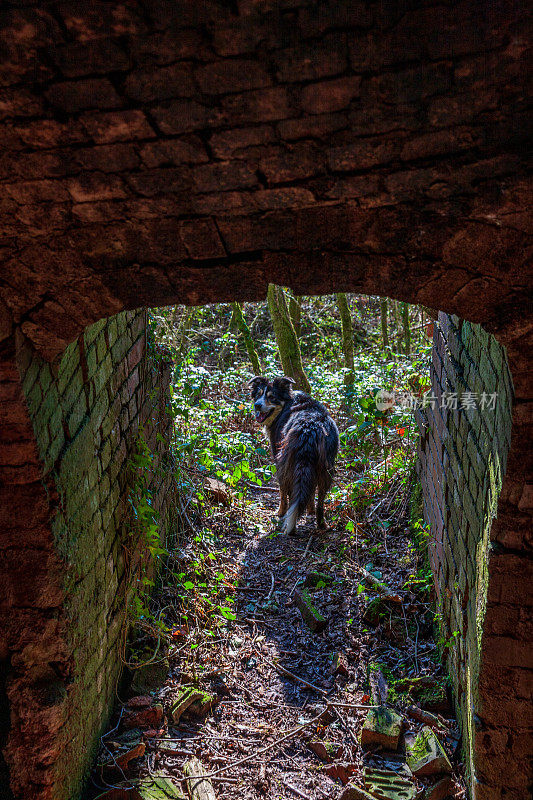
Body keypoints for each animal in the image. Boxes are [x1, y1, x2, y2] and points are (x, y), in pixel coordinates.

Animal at [248, 376, 338, 536]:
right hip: (325, 467)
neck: (287, 402)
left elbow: (283, 493)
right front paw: (310, 510)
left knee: (289, 492)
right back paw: (321, 524)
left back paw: (289, 522)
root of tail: (309, 428)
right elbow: (310, 492)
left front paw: (280, 512)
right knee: (320, 498)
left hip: (285, 463)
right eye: (258, 395)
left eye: (272, 397)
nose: (257, 406)